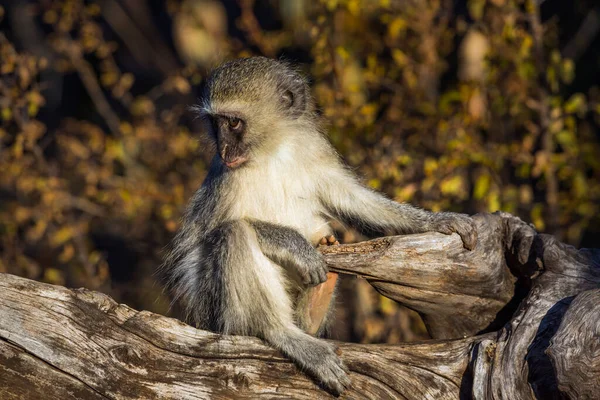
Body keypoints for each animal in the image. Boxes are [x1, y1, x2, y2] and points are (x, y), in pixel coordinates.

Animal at [161, 57, 478, 396]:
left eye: (233, 123)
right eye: (215, 123)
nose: (223, 150)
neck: (273, 150)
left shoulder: (313, 149)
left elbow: (352, 198)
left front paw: (437, 220)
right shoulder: (224, 180)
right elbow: (200, 244)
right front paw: (294, 244)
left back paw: (314, 307)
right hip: (216, 314)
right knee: (234, 235)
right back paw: (286, 334)